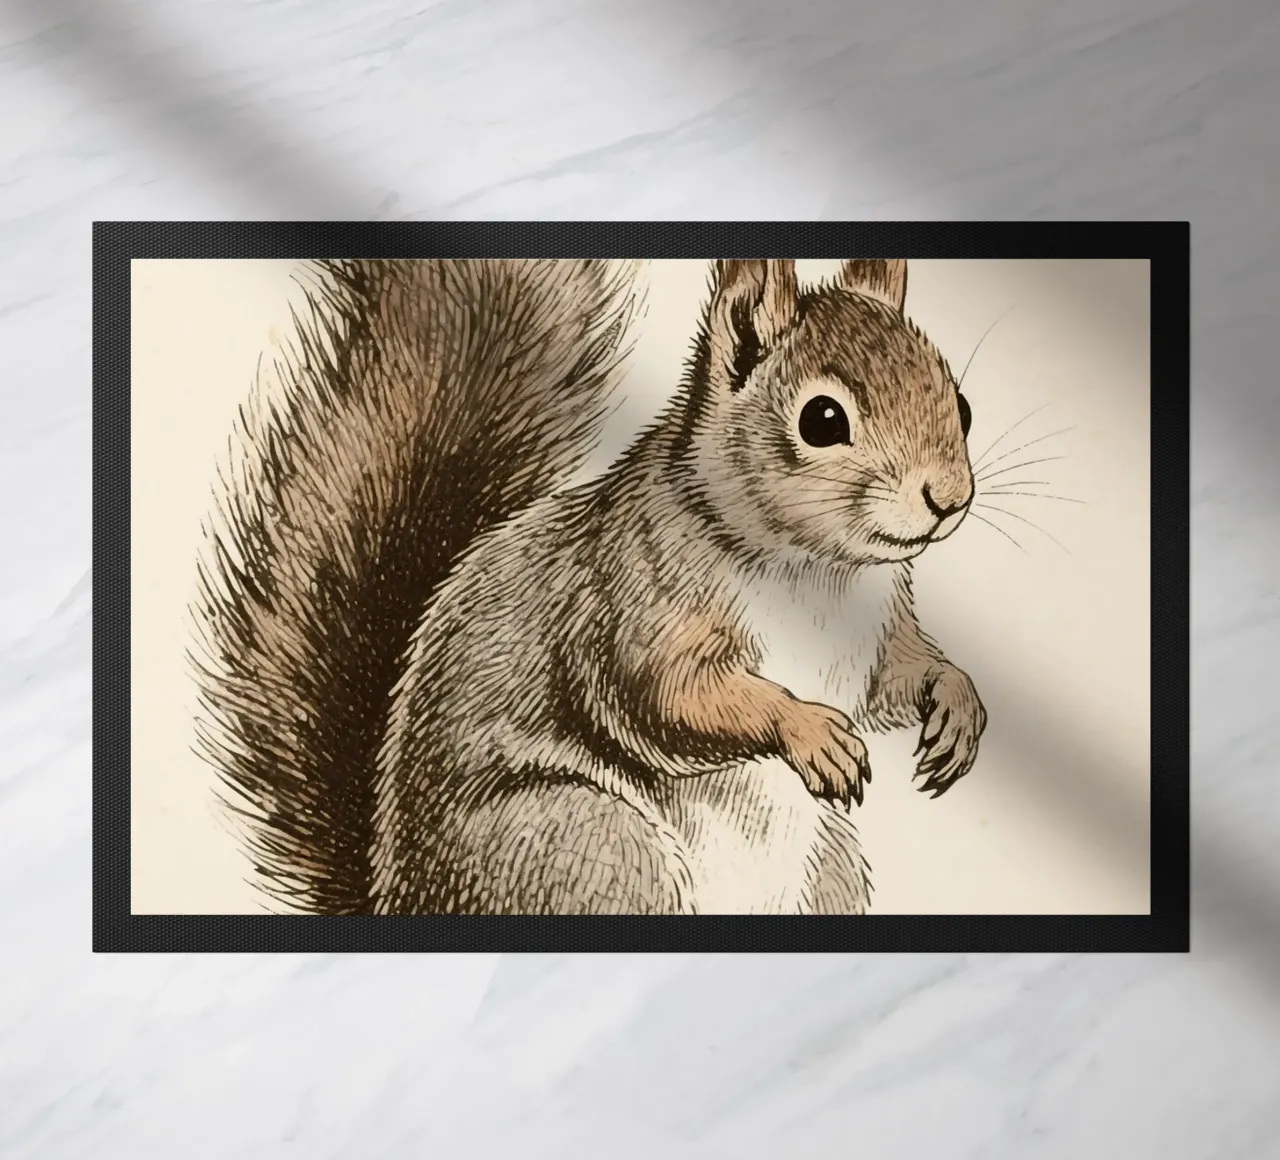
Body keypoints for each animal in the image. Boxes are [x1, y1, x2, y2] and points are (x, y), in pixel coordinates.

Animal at [192, 256, 987, 916]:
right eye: (822, 419)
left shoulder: (880, 632)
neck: (821, 574)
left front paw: (956, 704)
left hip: (828, 869)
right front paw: (808, 729)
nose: (948, 498)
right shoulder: (631, 599)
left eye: (963, 405)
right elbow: (665, 695)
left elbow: (900, 677)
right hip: (586, 845)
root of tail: (398, 902)